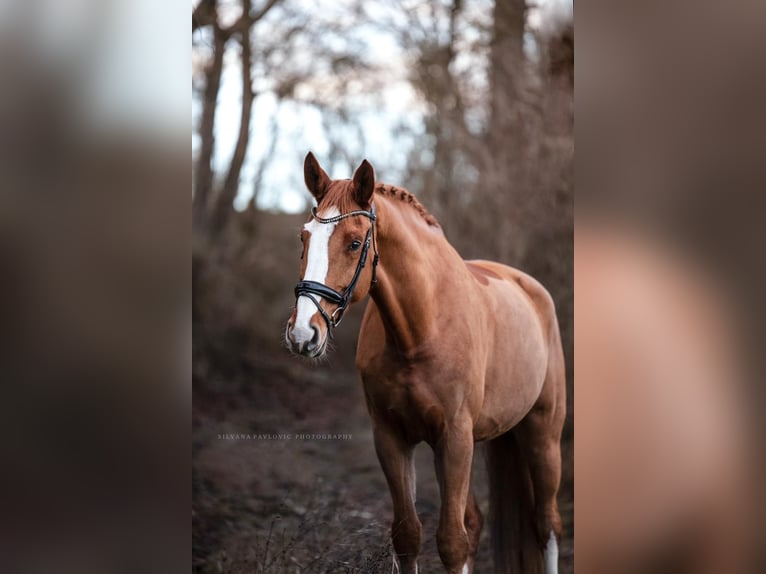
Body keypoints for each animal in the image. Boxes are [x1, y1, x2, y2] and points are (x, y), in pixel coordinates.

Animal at [284, 153, 568, 574]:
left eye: (354, 243)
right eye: (304, 239)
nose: (303, 333)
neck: (421, 329)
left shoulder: (454, 438)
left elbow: (451, 541)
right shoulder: (392, 438)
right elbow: (409, 536)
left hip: (542, 434)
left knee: (546, 524)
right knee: (476, 522)